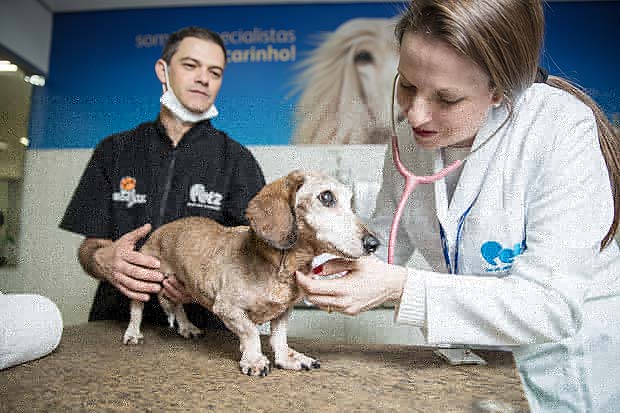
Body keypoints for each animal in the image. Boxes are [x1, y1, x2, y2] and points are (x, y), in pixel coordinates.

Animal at [122, 169, 378, 374]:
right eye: (326, 197)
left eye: (351, 202)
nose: (374, 244)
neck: (277, 267)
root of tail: (159, 231)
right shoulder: (228, 309)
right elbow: (252, 333)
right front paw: (254, 360)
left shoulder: (283, 311)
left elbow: (279, 337)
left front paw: (287, 358)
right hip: (145, 278)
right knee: (136, 307)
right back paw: (133, 333)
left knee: (177, 306)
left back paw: (187, 327)